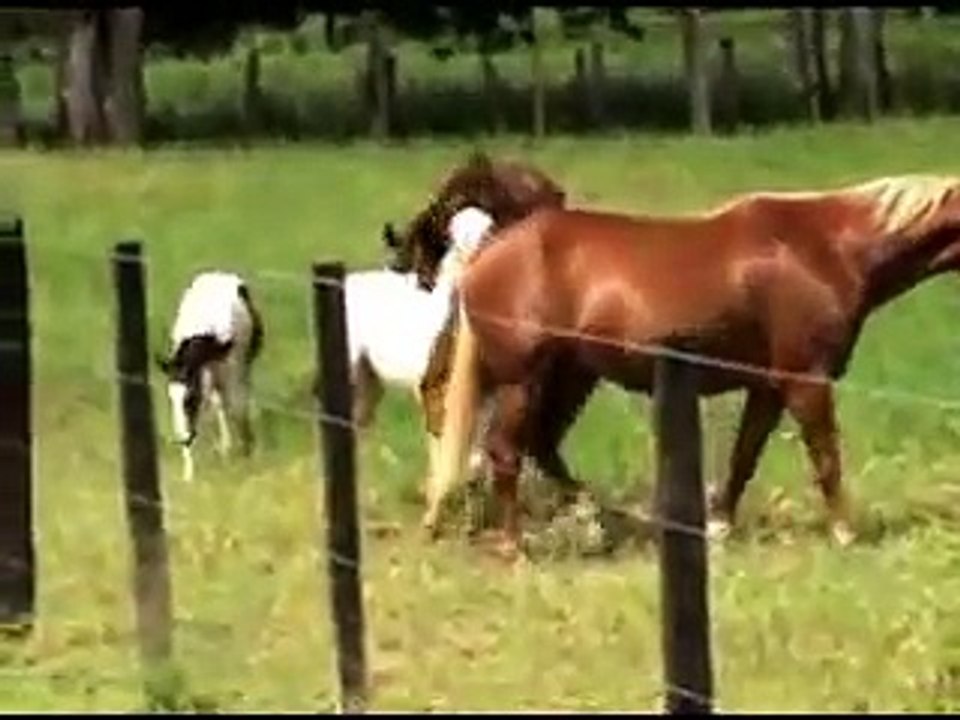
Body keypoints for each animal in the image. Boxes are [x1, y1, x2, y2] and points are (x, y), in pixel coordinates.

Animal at [156, 271, 265, 482]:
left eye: (191, 396)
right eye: (170, 399)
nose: (182, 439)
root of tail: (218, 274)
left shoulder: (232, 372)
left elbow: (237, 407)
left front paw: (246, 454)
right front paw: (189, 475)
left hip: (241, 368)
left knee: (236, 400)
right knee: (219, 404)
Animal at [345, 207, 497, 497]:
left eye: (491, 231)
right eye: (453, 237)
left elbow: (476, 458)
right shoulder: (431, 391)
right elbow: (443, 453)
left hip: (372, 380)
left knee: (360, 425)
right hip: (353, 372)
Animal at [424, 174, 960, 557]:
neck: (825, 247)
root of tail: (487, 254)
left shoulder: (767, 386)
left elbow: (744, 457)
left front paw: (718, 526)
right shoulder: (805, 380)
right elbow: (826, 459)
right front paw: (846, 533)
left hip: (572, 377)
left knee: (541, 445)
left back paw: (598, 520)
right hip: (526, 379)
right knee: (505, 450)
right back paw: (516, 546)